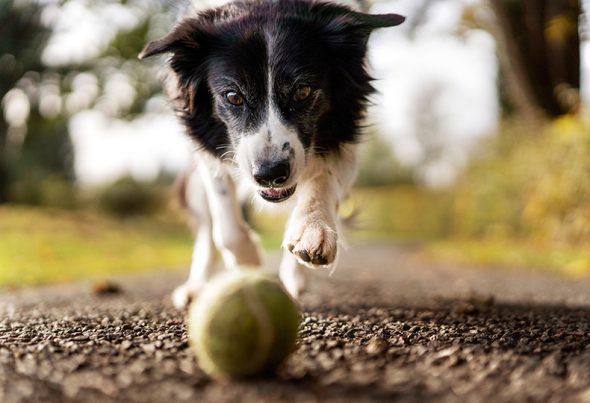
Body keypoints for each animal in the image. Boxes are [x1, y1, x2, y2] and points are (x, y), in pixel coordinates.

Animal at [140, 0, 404, 310]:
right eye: (233, 97)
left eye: (303, 91)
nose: (270, 174)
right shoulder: (209, 151)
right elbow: (225, 226)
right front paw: (249, 263)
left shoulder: (345, 138)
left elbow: (322, 180)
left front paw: (313, 230)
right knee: (206, 229)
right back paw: (196, 287)